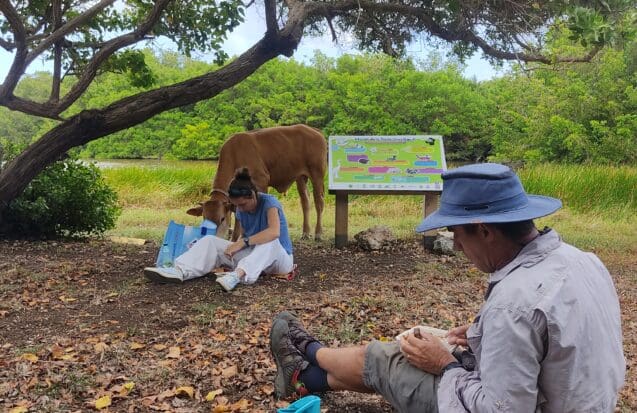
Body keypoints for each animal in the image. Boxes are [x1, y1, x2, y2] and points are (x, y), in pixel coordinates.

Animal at [188, 123, 328, 238]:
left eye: (222, 219)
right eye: (204, 217)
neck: (234, 156)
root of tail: (314, 130)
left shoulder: (261, 181)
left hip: (317, 174)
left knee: (319, 202)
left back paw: (318, 233)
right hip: (300, 177)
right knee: (305, 202)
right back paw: (306, 232)